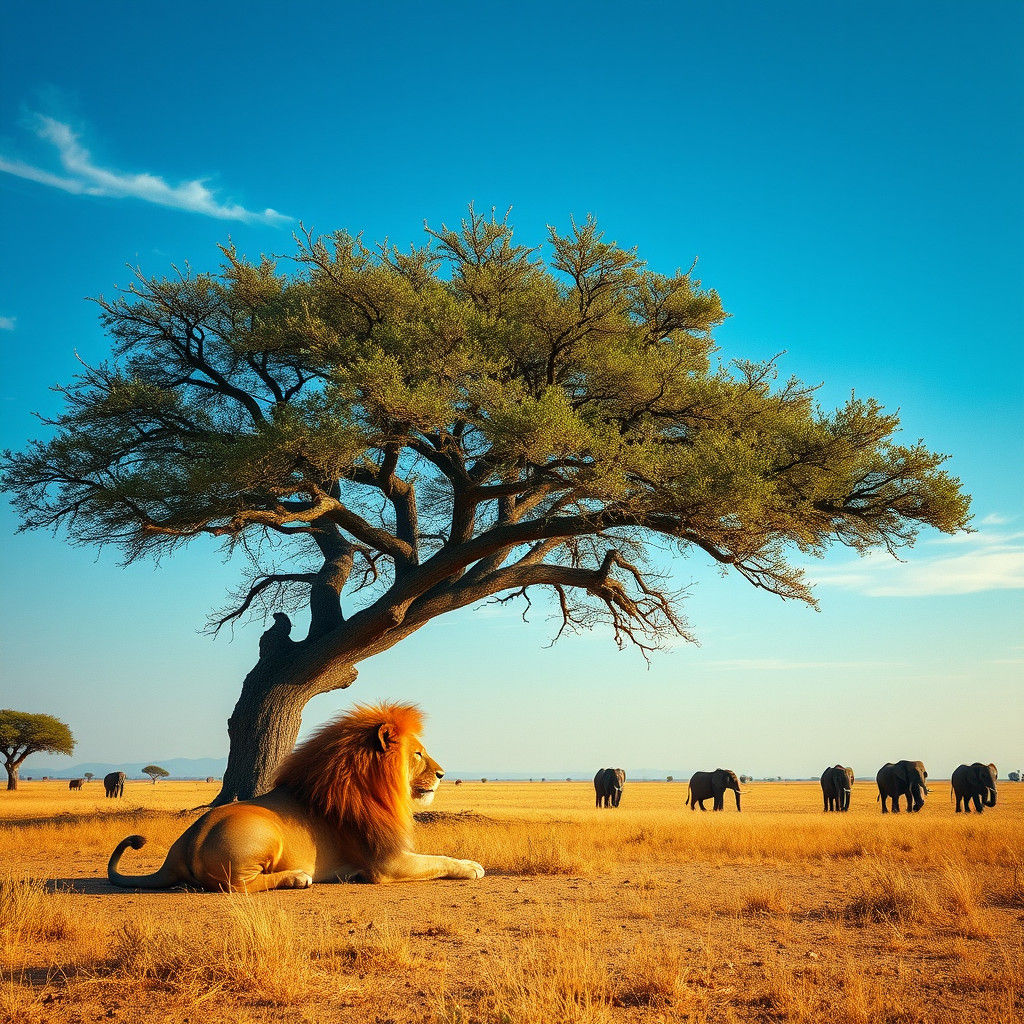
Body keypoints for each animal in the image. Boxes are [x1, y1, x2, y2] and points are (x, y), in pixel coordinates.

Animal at [107, 703, 484, 892]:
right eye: (418, 754)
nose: (443, 773)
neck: (371, 787)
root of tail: (183, 846)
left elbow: (437, 857)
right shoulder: (386, 864)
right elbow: (439, 860)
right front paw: (472, 866)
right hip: (264, 835)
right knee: (234, 886)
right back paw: (297, 878)